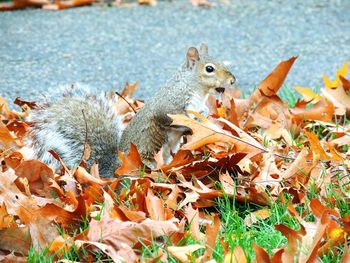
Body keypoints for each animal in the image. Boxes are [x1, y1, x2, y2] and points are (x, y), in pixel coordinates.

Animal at [26, 44, 235, 178]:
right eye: (209, 69)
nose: (233, 81)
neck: (196, 89)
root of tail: (113, 171)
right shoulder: (169, 105)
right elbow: (172, 118)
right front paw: (192, 123)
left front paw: (204, 116)